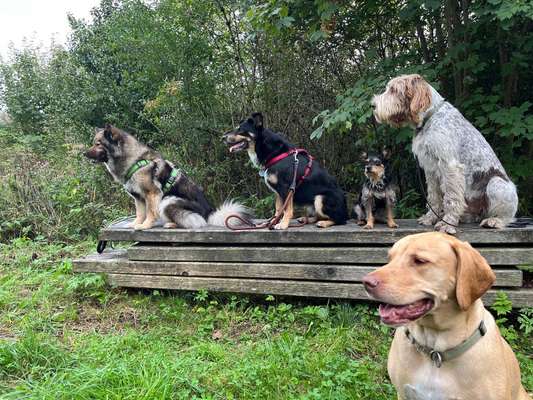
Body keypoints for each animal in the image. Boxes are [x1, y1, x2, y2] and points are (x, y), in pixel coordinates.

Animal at [83, 125, 249, 231]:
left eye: (98, 144)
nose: (84, 153)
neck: (133, 160)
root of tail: (209, 214)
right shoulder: (138, 197)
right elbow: (140, 213)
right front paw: (135, 223)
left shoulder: (152, 194)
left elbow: (150, 212)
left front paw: (145, 226)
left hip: (168, 200)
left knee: (194, 221)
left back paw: (171, 224)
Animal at [370, 74, 516, 234]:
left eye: (394, 90)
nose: (373, 105)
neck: (429, 117)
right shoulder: (430, 168)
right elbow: (434, 197)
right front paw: (430, 218)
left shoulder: (450, 166)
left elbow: (451, 198)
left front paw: (447, 223)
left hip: (496, 183)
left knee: (508, 217)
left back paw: (494, 221)